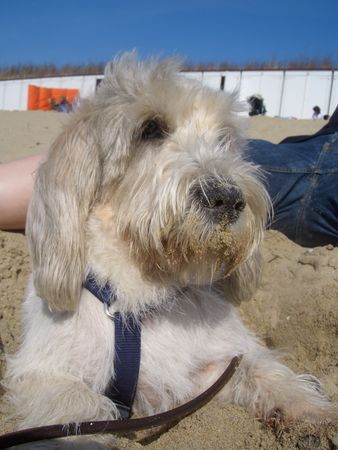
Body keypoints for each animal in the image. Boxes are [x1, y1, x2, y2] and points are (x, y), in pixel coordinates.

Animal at [3, 52, 336, 446]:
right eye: (150, 129)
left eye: (224, 139)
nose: (228, 198)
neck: (144, 296)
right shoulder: (45, 374)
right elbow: (83, 410)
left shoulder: (216, 367)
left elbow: (266, 370)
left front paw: (315, 411)